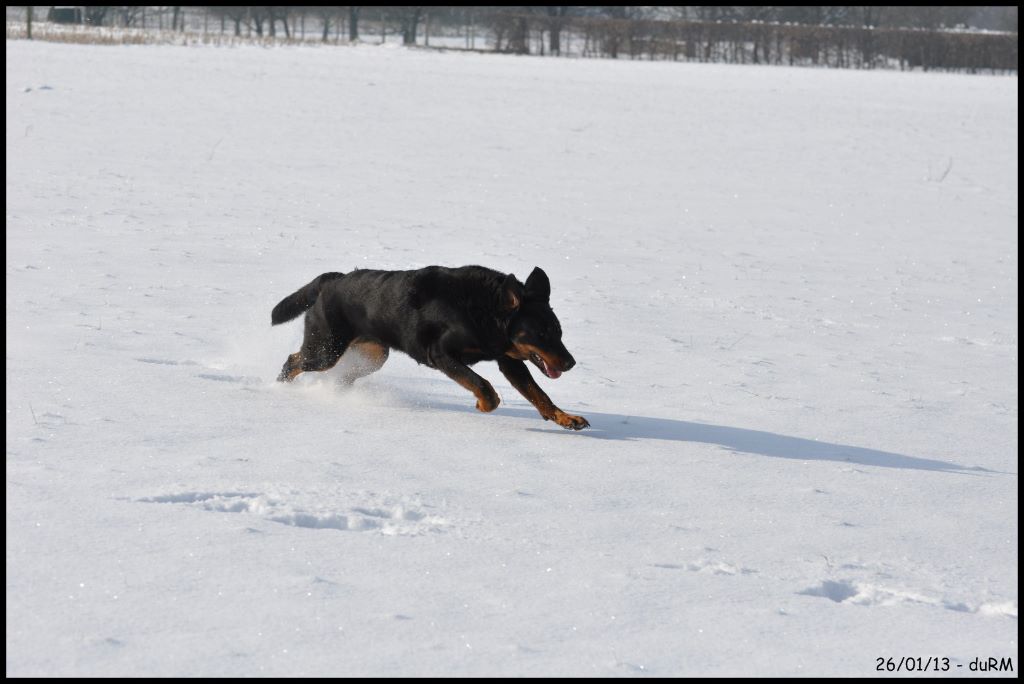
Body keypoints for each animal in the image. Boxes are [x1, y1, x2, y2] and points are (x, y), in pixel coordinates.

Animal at [270, 266, 593, 430]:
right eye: (542, 333)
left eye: (559, 332)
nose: (570, 363)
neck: (486, 312)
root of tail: (331, 280)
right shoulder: (441, 353)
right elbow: (483, 385)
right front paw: (484, 404)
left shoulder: (509, 360)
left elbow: (539, 395)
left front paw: (565, 418)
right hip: (327, 349)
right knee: (293, 360)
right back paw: (281, 387)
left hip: (374, 353)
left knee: (343, 376)